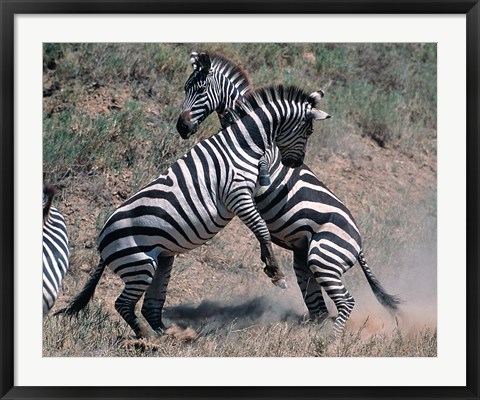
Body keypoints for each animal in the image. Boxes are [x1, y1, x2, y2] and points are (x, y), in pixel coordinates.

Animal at [56, 86, 332, 340]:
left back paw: (169, 334)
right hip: (139, 264)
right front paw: (274, 271)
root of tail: (102, 241)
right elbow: (261, 229)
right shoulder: (237, 194)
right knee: (122, 304)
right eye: (309, 131)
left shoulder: (249, 190)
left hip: (161, 260)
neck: (243, 143)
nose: (295, 164)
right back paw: (147, 337)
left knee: (149, 305)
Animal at [176, 51, 402, 336]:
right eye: (186, 88)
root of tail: (359, 244)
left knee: (343, 301)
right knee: (318, 308)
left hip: (324, 257)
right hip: (305, 261)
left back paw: (328, 341)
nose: (181, 128)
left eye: (201, 90)